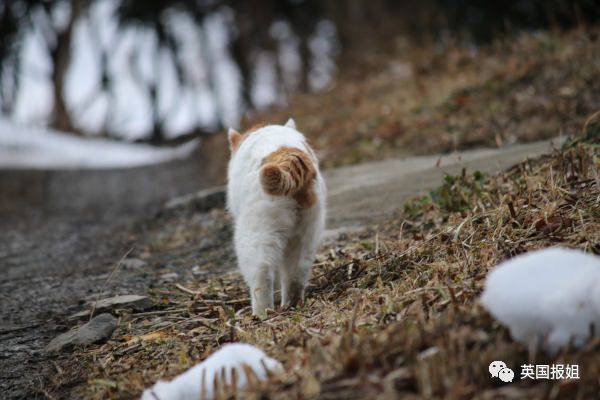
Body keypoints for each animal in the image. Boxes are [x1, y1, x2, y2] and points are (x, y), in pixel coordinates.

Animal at [226, 119, 328, 318]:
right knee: (296, 273)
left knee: (262, 273)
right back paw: (290, 305)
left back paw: (261, 315)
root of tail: (289, 154)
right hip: (306, 235)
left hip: (255, 236)